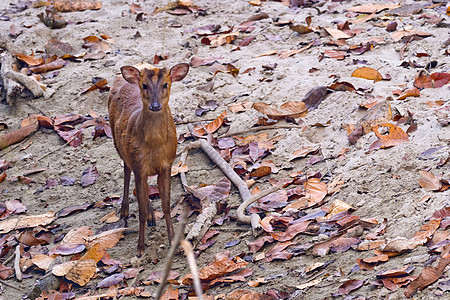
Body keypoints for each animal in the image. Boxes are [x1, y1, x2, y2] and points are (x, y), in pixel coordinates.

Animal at [108, 62, 189, 256]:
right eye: (144, 85)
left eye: (165, 84)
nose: (155, 105)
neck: (154, 147)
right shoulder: (139, 165)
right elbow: (141, 212)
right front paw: (140, 248)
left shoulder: (167, 164)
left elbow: (166, 205)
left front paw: (173, 241)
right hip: (118, 143)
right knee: (126, 169)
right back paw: (124, 210)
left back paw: (152, 214)